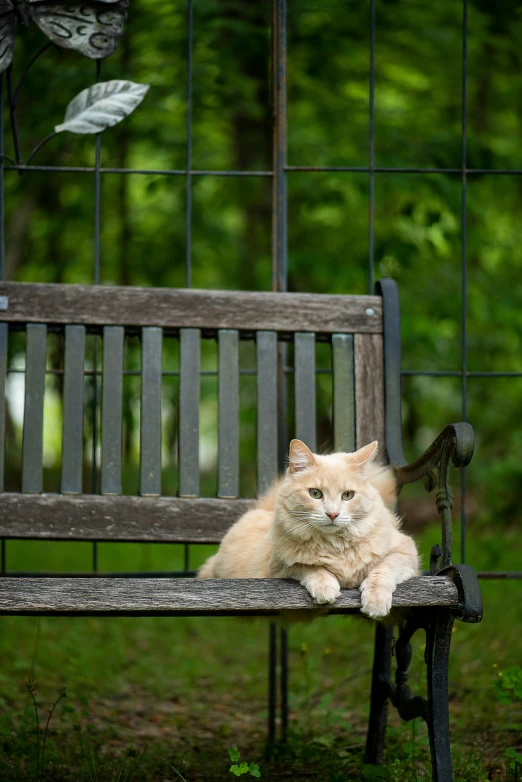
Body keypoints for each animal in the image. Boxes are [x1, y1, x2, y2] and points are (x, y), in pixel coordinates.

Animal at [196, 440, 418, 620]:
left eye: (347, 495)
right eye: (315, 493)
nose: (332, 514)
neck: (336, 546)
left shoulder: (406, 553)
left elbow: (382, 571)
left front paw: (376, 603)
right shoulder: (279, 567)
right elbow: (312, 568)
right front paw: (325, 589)